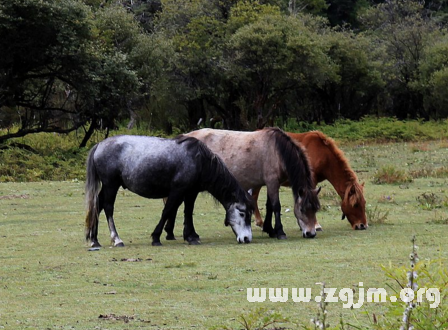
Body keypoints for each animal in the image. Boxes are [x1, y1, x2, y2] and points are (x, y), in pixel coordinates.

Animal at [83, 133, 252, 245]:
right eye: (242, 213)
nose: (247, 238)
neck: (198, 161)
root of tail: (99, 145)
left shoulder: (191, 193)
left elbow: (188, 212)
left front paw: (190, 236)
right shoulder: (177, 191)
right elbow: (167, 211)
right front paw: (156, 237)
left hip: (108, 187)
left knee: (97, 206)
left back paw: (94, 240)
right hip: (111, 185)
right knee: (108, 207)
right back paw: (116, 239)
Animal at [163, 127, 320, 238]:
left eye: (315, 209)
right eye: (302, 209)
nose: (311, 234)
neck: (277, 150)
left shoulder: (270, 183)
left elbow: (269, 206)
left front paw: (270, 230)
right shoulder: (272, 182)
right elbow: (276, 206)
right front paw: (280, 232)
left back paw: (170, 232)